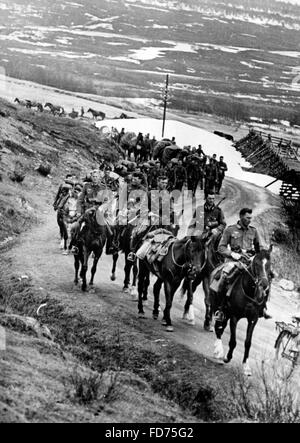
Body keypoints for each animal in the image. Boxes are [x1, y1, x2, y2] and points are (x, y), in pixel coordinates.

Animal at [212, 248, 274, 376]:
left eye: (269, 264)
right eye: (256, 263)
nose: (264, 284)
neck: (249, 291)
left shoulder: (253, 319)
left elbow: (248, 342)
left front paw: (246, 366)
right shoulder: (234, 317)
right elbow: (233, 341)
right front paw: (227, 357)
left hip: (226, 313)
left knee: (221, 327)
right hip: (216, 306)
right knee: (218, 328)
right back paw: (219, 351)